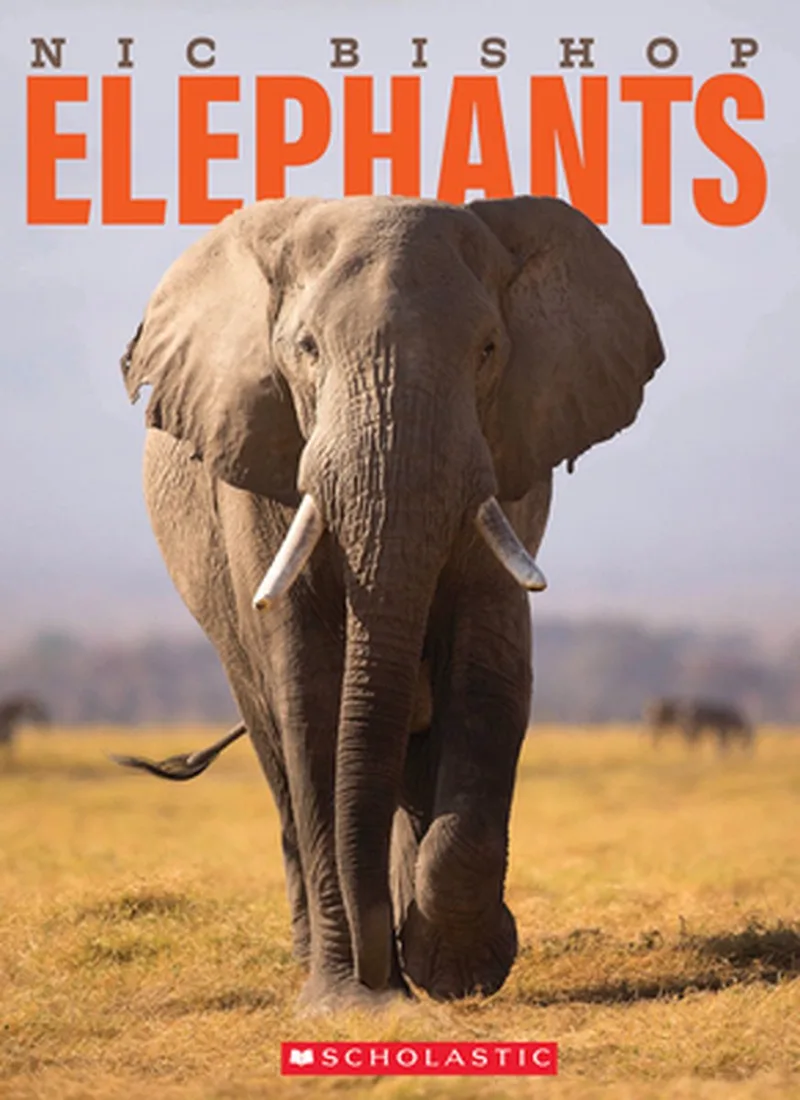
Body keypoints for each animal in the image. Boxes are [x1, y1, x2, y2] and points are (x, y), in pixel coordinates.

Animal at [120, 194, 664, 1009]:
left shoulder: (507, 462)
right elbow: (313, 697)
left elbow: (490, 673)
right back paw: (320, 953)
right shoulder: (260, 464)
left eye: (488, 349)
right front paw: (352, 1002)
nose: (381, 970)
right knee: (280, 755)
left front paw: (457, 973)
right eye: (306, 348)